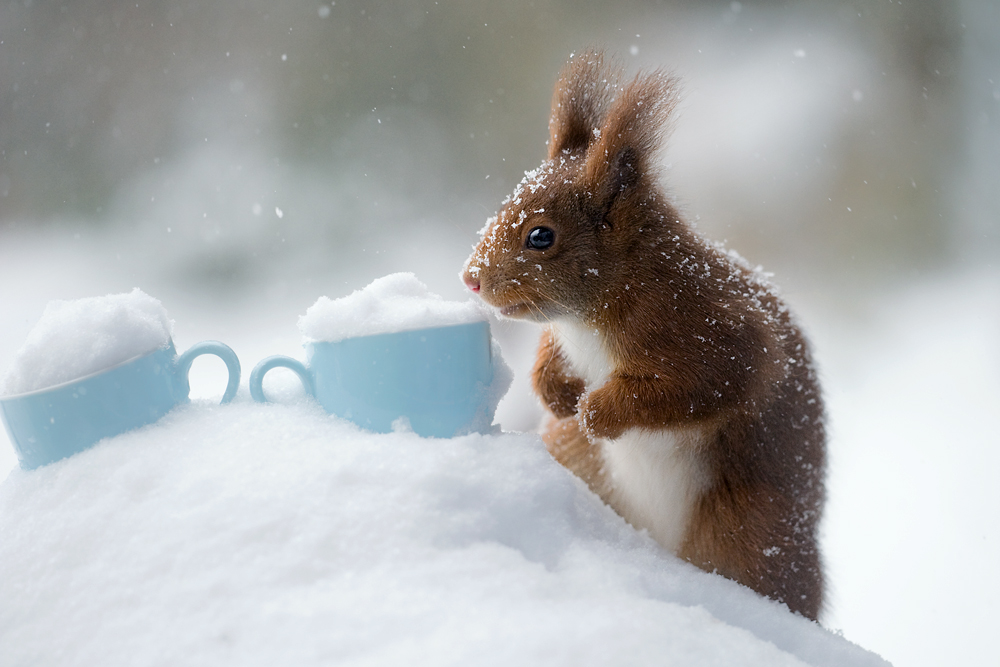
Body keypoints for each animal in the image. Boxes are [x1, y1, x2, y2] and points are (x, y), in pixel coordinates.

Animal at [464, 51, 824, 620]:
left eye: (540, 236)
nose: (470, 278)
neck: (591, 315)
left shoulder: (707, 328)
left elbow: (699, 385)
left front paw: (597, 411)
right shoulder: (564, 337)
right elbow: (548, 357)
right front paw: (556, 394)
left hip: (749, 527)